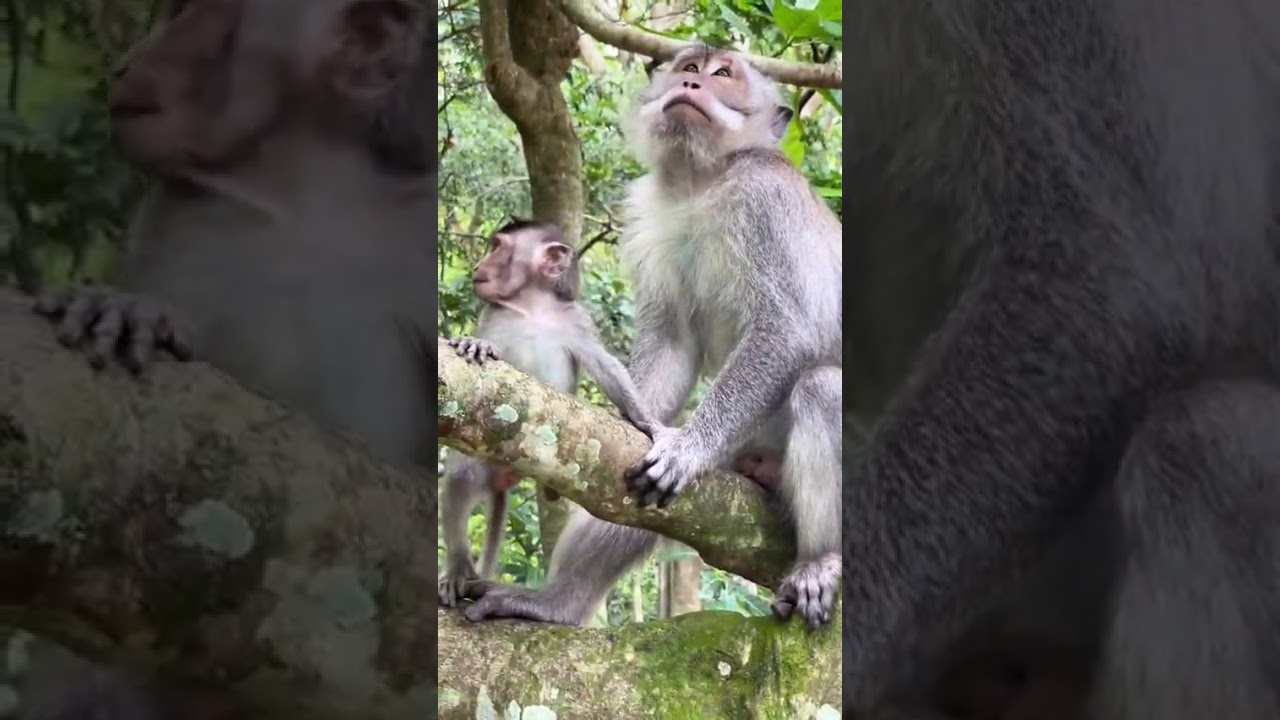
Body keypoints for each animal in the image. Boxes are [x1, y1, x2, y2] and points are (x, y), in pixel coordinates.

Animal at [22, 0, 436, 718]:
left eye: (204, 10)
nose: (130, 61)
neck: (310, 196)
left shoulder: (415, 229)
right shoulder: (179, 215)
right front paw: (128, 310)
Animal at [438, 219, 657, 608]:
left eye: (498, 248)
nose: (479, 265)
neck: (532, 307)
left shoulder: (576, 320)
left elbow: (607, 366)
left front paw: (649, 423)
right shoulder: (494, 314)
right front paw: (476, 344)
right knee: (462, 476)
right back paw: (458, 567)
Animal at [461, 45, 842, 632]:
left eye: (723, 74)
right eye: (688, 64)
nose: (691, 82)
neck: (700, 180)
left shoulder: (764, 195)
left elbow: (789, 327)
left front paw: (687, 448)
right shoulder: (650, 212)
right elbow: (671, 344)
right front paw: (640, 419)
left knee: (822, 389)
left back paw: (822, 559)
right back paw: (559, 602)